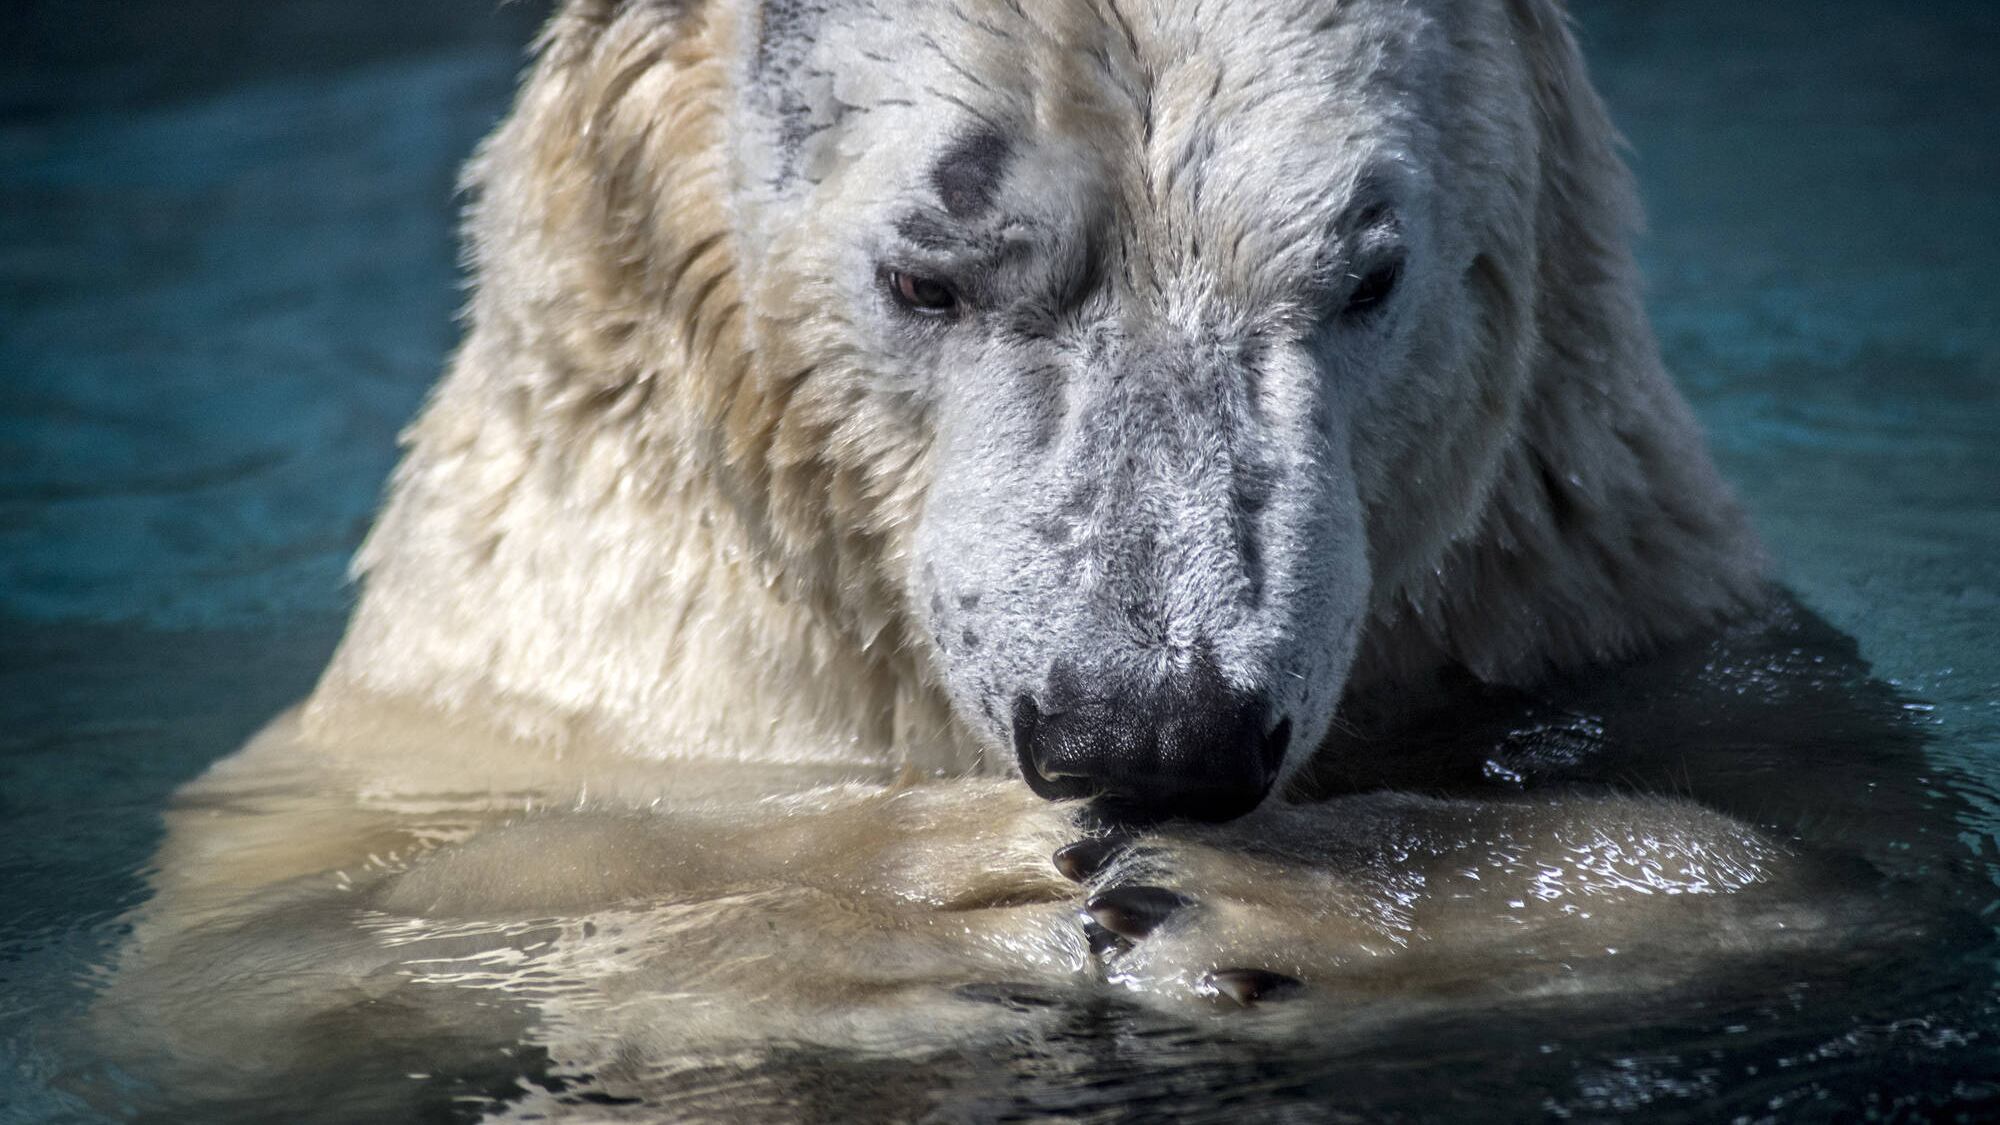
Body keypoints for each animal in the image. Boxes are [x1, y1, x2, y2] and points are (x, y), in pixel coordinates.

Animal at [87, 0, 1964, 1118]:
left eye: (1365, 273)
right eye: (925, 272)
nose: (1152, 731)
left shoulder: (1616, 612)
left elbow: (1852, 870)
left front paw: (1298, 887)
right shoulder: (511, 691)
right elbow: (248, 971)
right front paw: (922, 885)